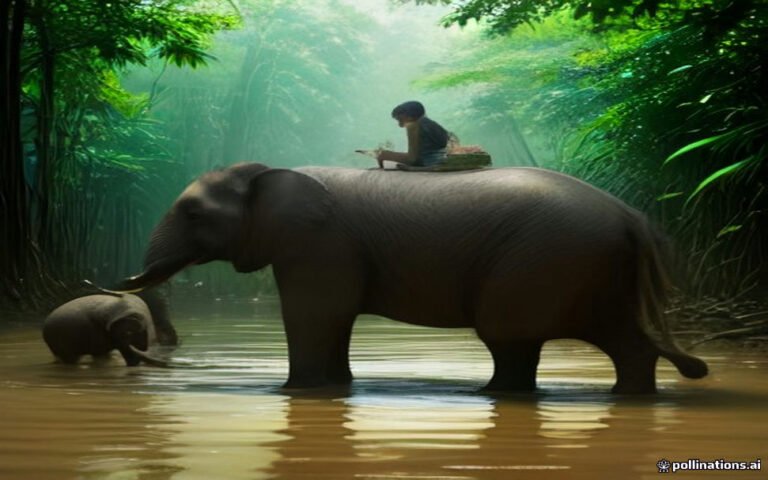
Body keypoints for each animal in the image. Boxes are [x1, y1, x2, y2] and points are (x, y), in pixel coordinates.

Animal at [116, 163, 708, 392]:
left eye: (193, 213)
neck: (267, 170)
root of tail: (632, 217)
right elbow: (334, 318)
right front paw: (337, 389)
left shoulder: (320, 244)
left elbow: (315, 313)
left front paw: (294, 393)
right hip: (591, 266)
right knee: (617, 336)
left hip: (546, 259)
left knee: (508, 336)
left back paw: (489, 395)